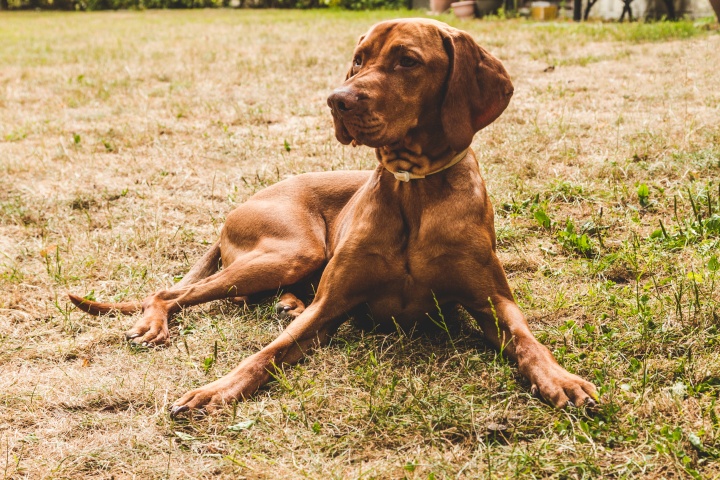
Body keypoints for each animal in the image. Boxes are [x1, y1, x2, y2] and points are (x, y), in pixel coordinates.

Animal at [69, 17, 596, 416]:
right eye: (359, 58)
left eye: (407, 60)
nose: (337, 100)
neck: (414, 190)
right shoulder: (330, 306)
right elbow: (266, 353)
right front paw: (214, 391)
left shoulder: (493, 301)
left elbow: (528, 340)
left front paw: (561, 379)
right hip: (293, 249)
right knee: (170, 292)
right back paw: (159, 324)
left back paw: (286, 303)